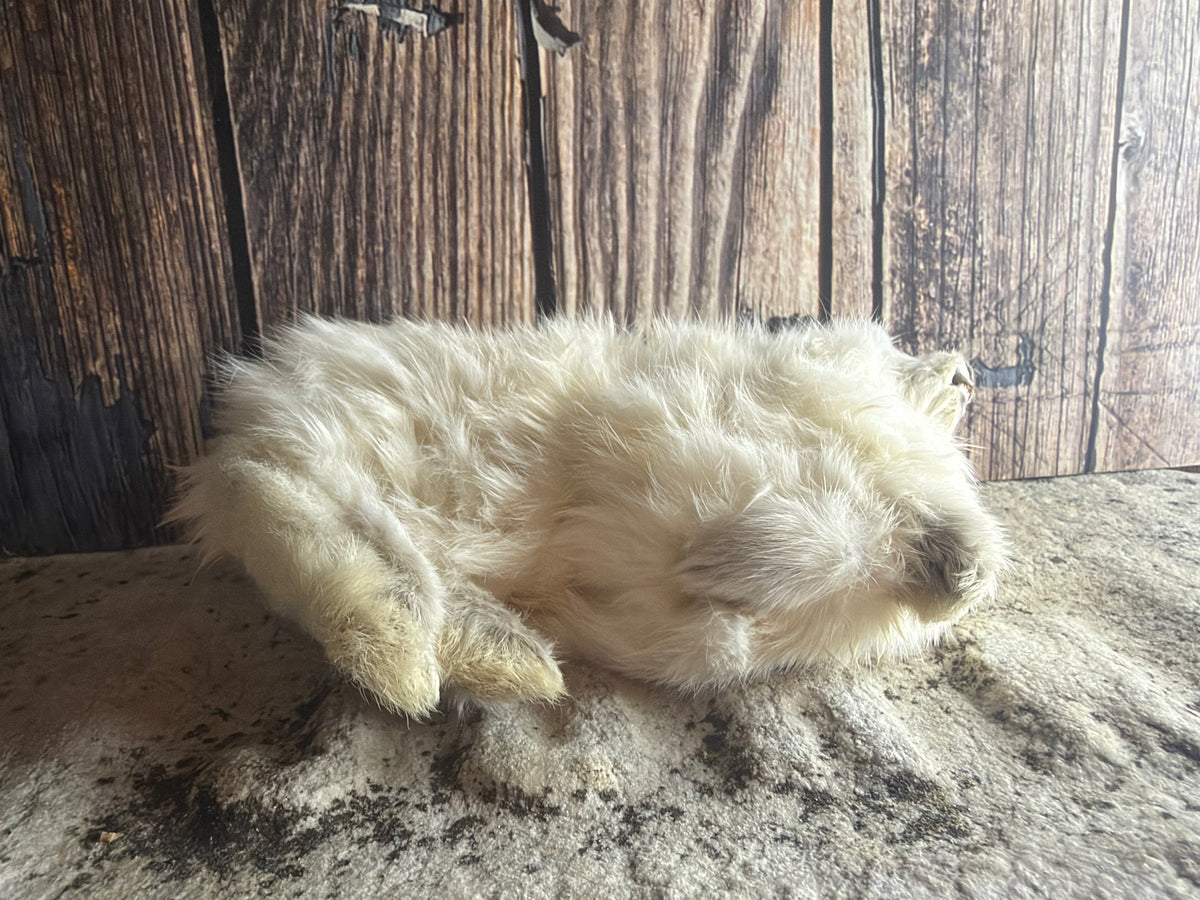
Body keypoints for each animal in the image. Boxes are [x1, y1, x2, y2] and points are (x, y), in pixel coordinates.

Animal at [172, 314, 1006, 716]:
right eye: (892, 343)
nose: (967, 371)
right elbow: (828, 538)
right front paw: (723, 560)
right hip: (318, 461)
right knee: (310, 525)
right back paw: (408, 660)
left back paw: (507, 658)